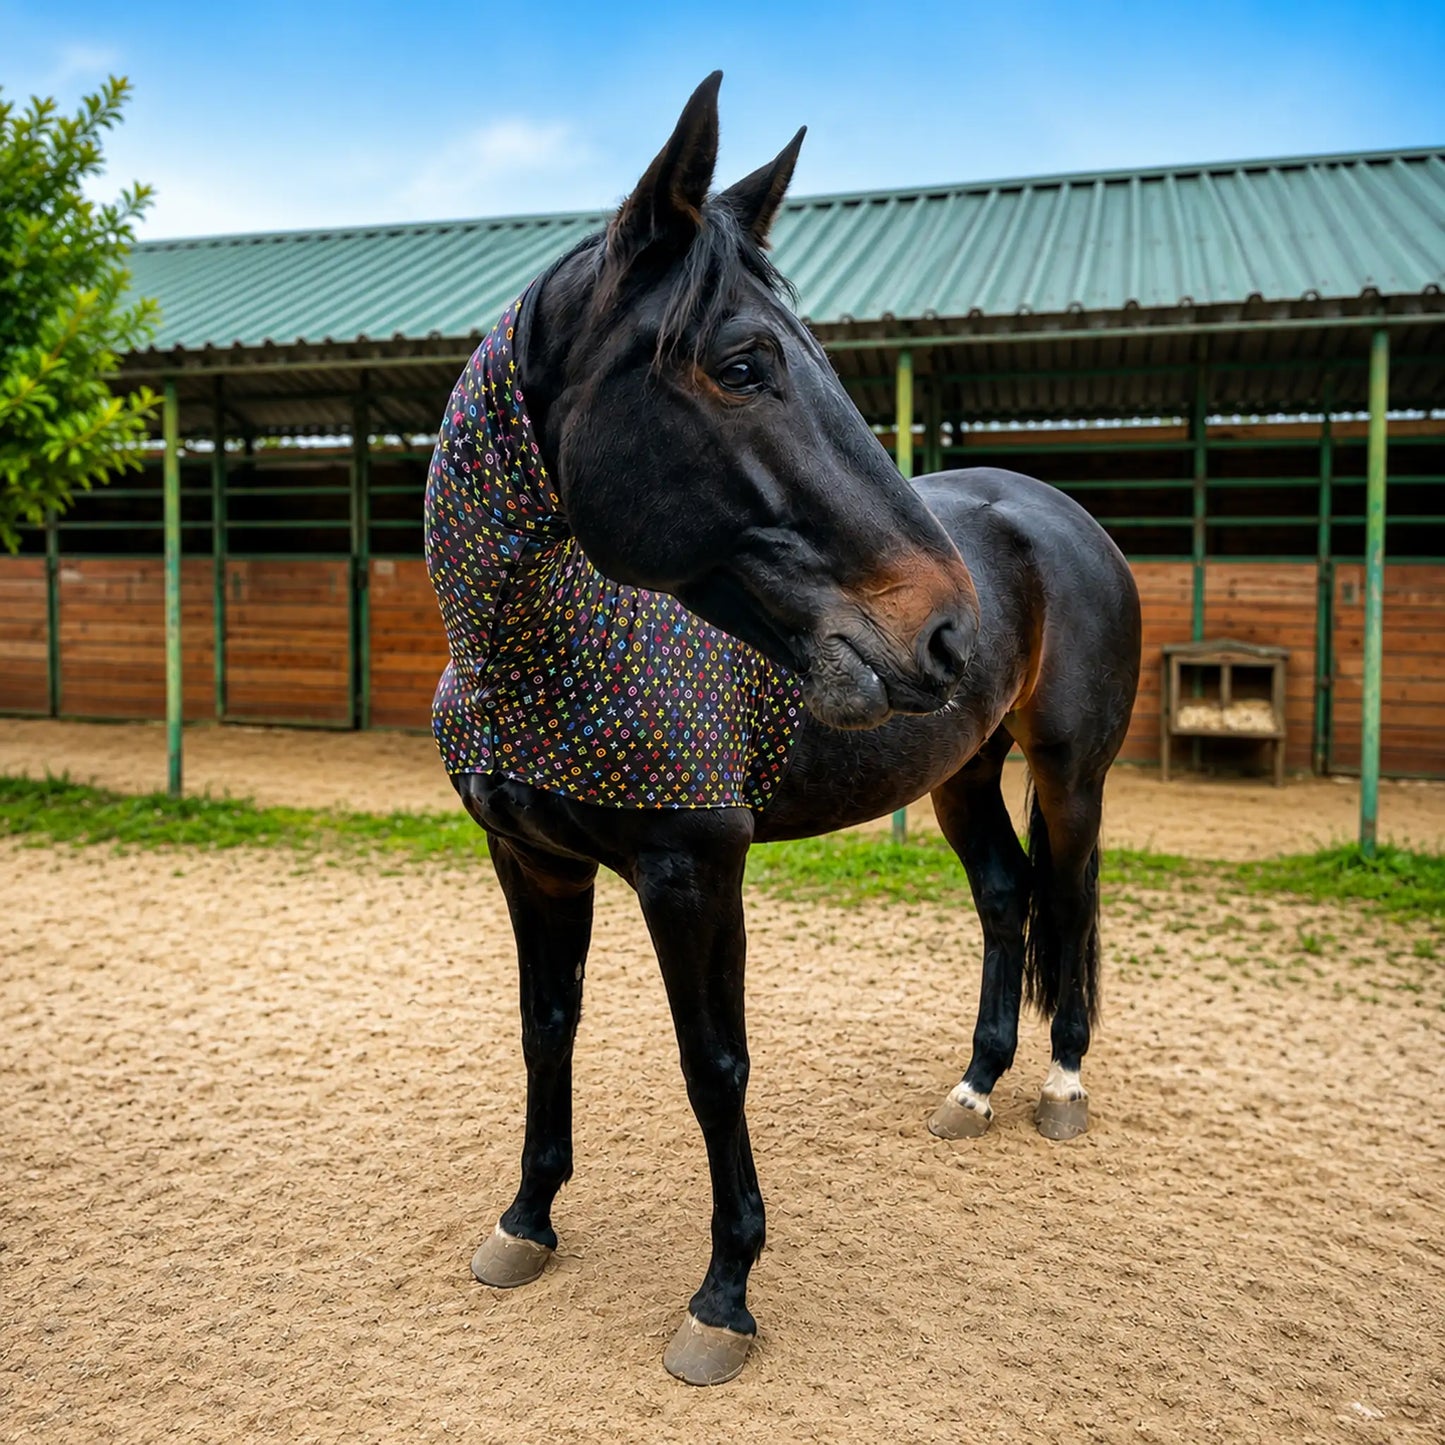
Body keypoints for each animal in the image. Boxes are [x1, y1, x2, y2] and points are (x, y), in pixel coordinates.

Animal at [425, 73, 1141, 1386]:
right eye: (745, 362)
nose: (947, 628)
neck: (534, 660)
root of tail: (1054, 513)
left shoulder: (693, 872)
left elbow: (714, 1067)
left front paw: (723, 1295)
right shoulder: (531, 864)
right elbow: (545, 1030)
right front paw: (526, 1221)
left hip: (1070, 770)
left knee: (1064, 903)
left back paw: (1058, 1085)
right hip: (963, 773)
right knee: (1006, 897)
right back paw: (972, 1088)